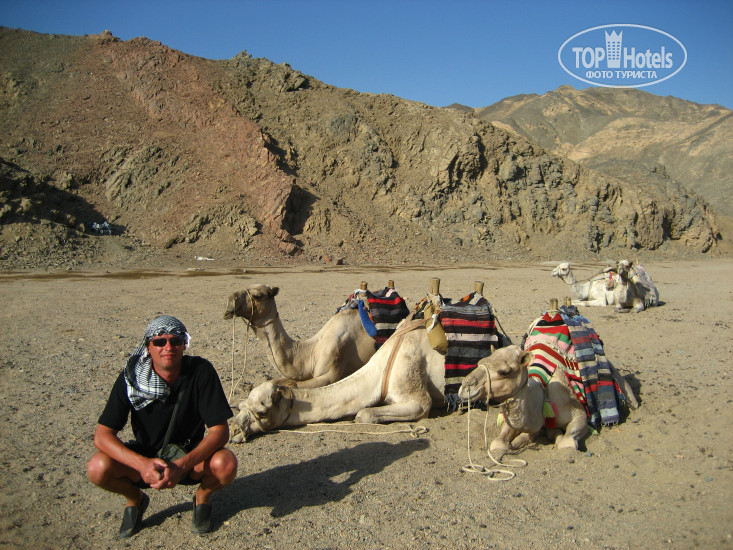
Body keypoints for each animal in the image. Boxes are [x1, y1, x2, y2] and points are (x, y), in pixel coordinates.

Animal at [223, 284, 379, 388]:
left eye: (257, 296)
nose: (231, 300)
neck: (311, 352)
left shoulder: (329, 375)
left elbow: (295, 385)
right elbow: (274, 382)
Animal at [458, 345, 638, 457]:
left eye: (504, 372)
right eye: (480, 362)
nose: (465, 386)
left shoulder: (578, 414)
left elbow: (566, 443)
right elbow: (499, 443)